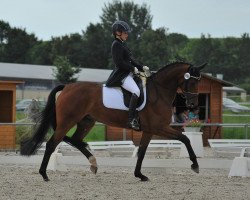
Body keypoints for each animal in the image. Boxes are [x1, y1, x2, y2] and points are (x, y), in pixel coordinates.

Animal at [20, 62, 205, 181]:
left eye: (199, 81)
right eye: (192, 81)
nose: (193, 105)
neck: (159, 92)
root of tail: (67, 87)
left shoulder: (149, 130)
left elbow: (142, 151)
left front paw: (140, 175)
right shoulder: (159, 127)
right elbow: (185, 138)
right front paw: (195, 165)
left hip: (86, 122)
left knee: (75, 140)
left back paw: (93, 164)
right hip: (67, 122)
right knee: (52, 143)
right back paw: (44, 174)